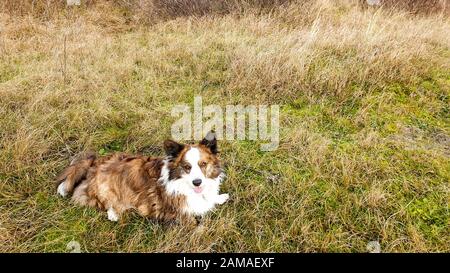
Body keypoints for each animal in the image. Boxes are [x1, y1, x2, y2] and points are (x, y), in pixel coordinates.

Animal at [55, 131, 229, 223]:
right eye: (187, 167)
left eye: (203, 164)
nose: (197, 182)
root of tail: (95, 163)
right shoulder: (180, 214)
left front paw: (220, 197)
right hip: (107, 189)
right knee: (105, 202)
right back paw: (114, 213)